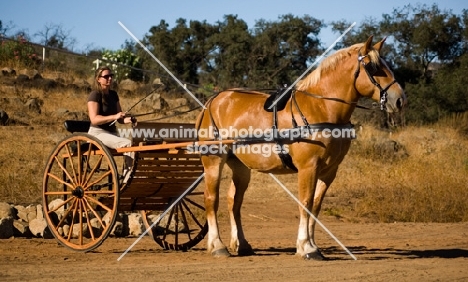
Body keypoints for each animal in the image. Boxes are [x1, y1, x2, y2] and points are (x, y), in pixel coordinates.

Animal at [194, 35, 406, 260]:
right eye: (373, 67)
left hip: (241, 167)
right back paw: (217, 245)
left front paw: (312, 245)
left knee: (234, 201)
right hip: (213, 161)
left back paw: (241, 244)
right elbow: (305, 202)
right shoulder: (308, 167)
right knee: (211, 199)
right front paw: (306, 247)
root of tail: (212, 102)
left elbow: (316, 206)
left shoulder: (329, 171)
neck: (320, 108)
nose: (400, 99)